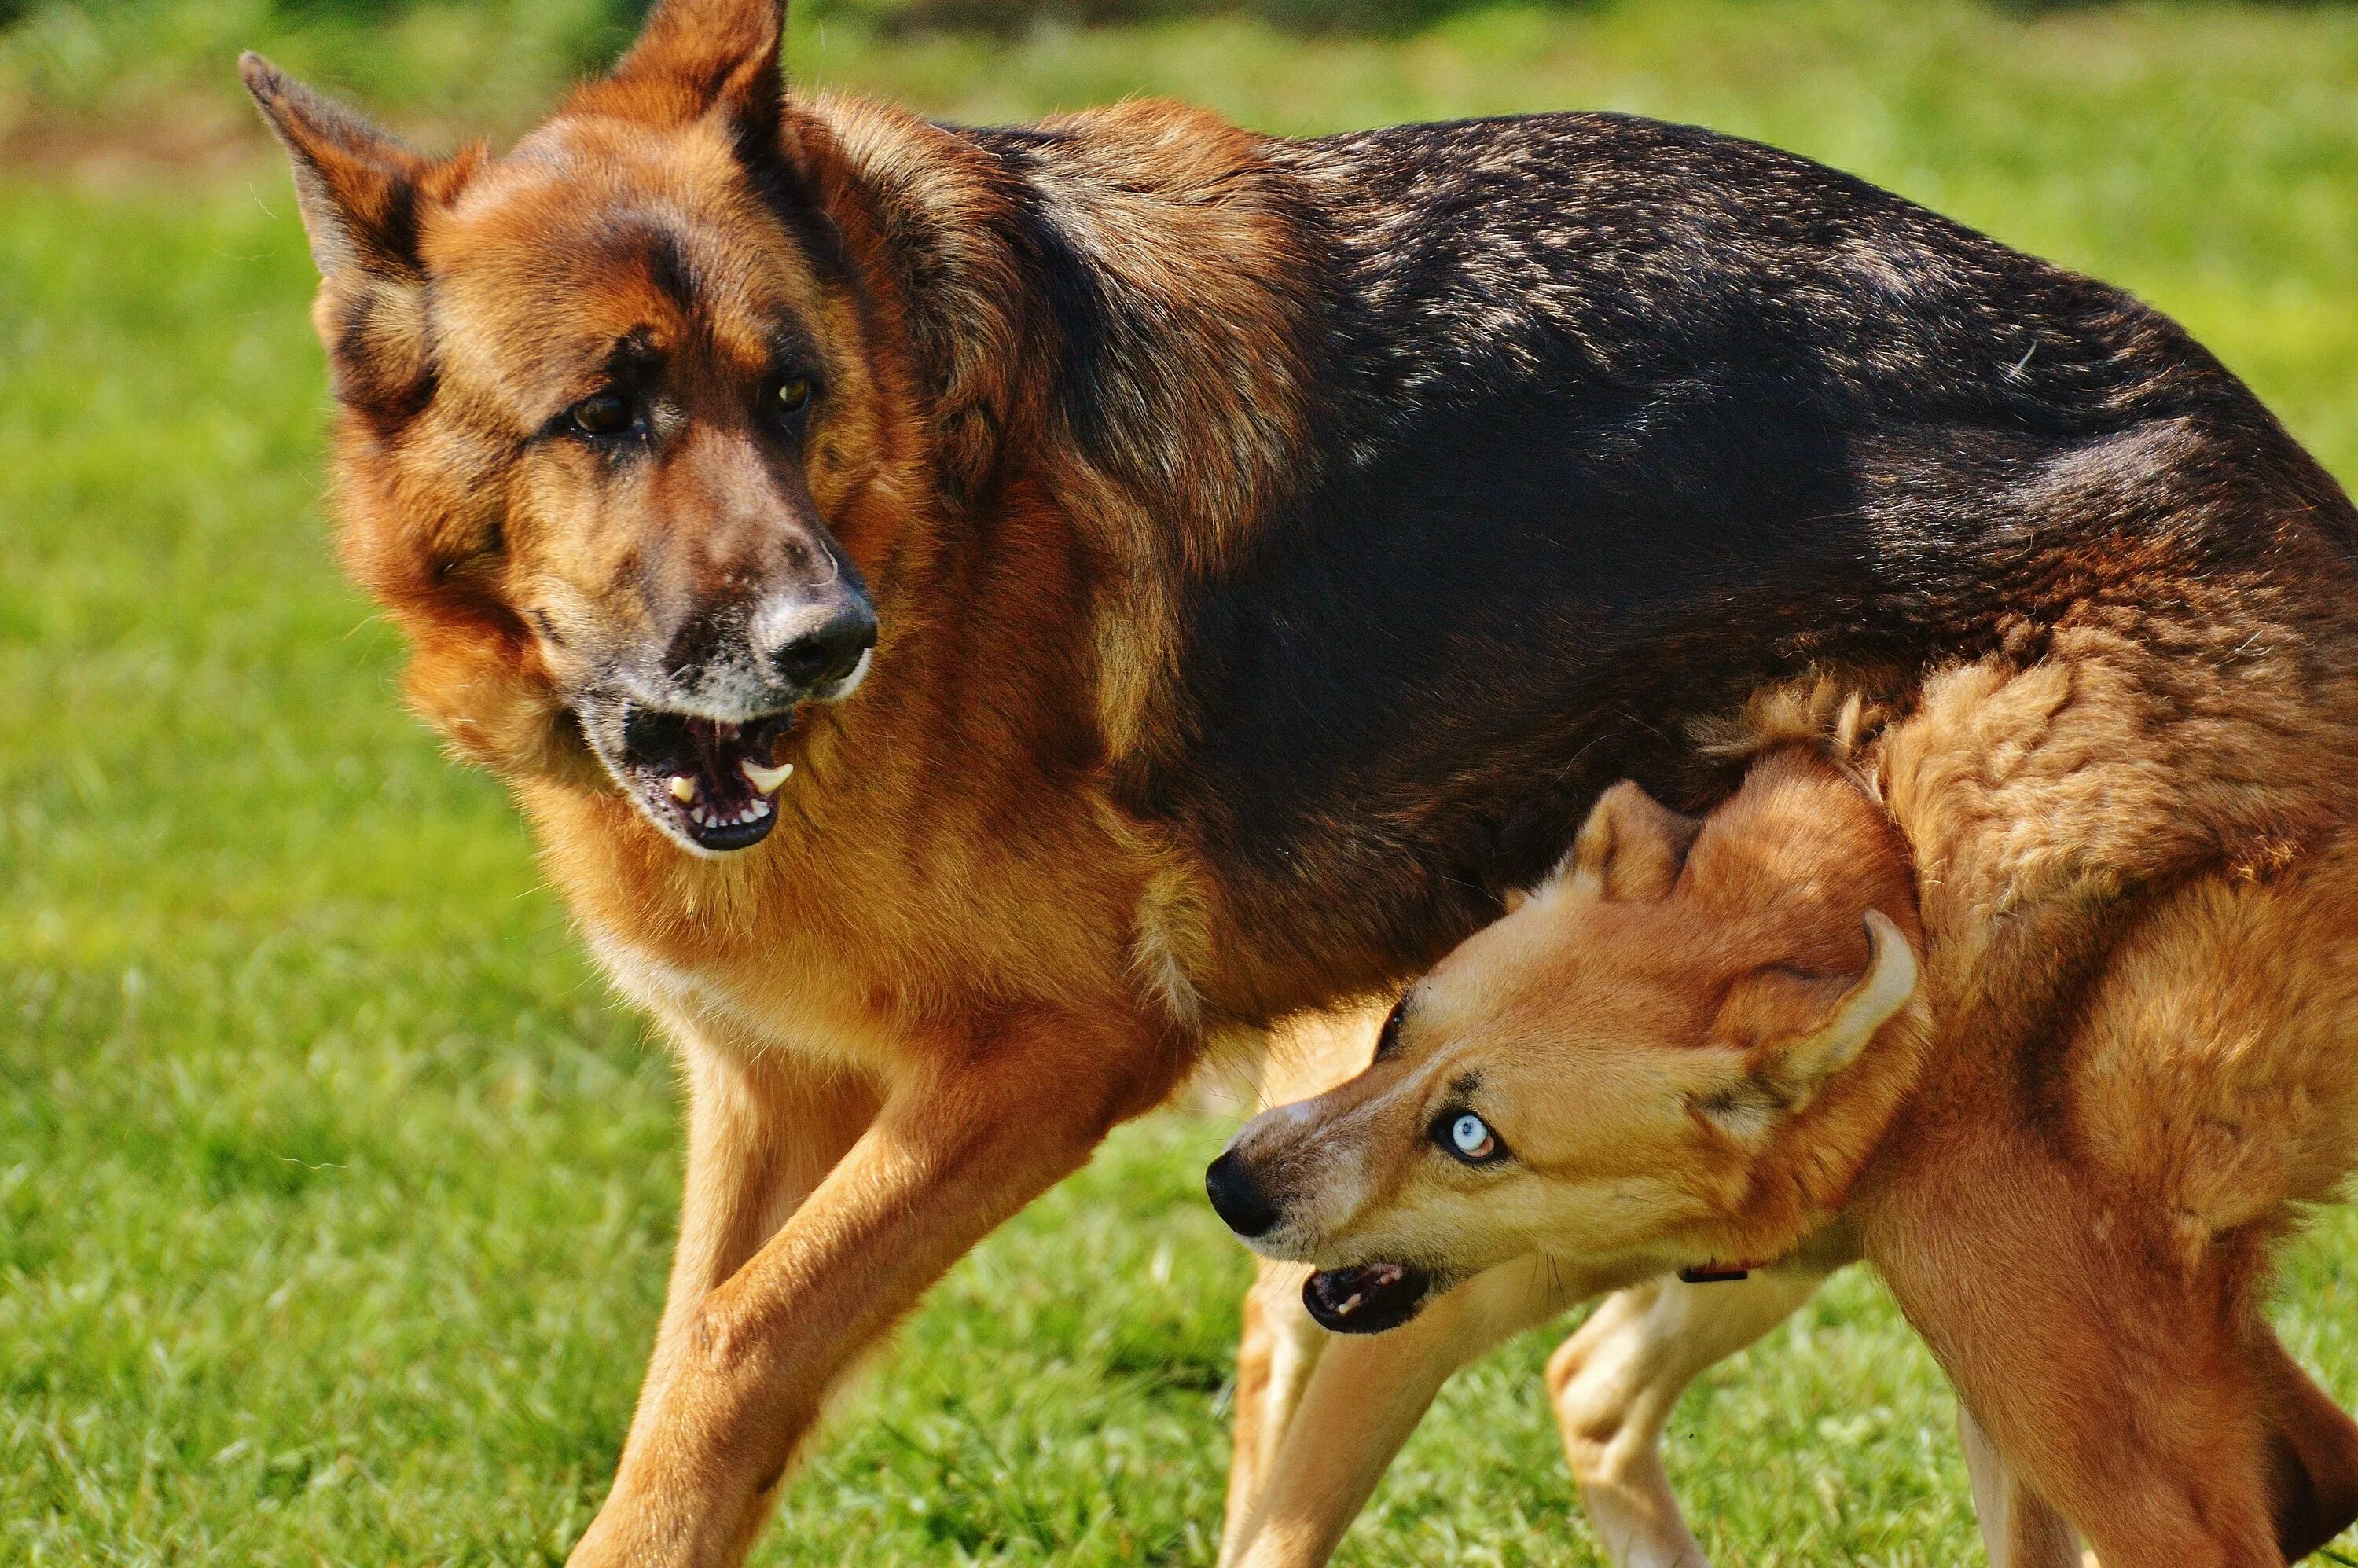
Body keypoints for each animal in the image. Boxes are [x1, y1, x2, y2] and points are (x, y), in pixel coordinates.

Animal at [1217, 736, 2358, 1566]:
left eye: (1472, 1135)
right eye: (1396, 1026)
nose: (1227, 1186)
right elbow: (1286, 1527)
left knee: (1586, 1386)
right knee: (1286, 1344)